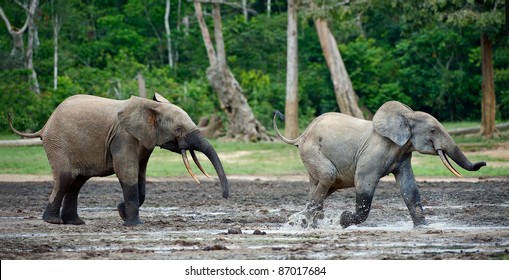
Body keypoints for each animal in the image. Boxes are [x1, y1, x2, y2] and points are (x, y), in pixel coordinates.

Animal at [9, 93, 228, 226]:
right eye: (179, 129)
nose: (224, 197)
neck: (152, 106)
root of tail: (45, 126)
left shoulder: (143, 142)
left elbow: (140, 175)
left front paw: (121, 211)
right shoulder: (123, 137)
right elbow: (127, 172)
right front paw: (133, 223)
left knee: (76, 182)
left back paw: (75, 222)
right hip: (59, 144)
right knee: (65, 178)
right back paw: (53, 222)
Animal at [272, 101, 486, 229]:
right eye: (433, 131)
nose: (483, 163)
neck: (406, 115)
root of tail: (302, 135)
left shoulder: (402, 154)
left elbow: (409, 187)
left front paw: (423, 227)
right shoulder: (374, 153)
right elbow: (364, 182)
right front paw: (343, 220)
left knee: (323, 185)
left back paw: (308, 223)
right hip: (312, 150)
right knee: (328, 175)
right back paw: (302, 221)